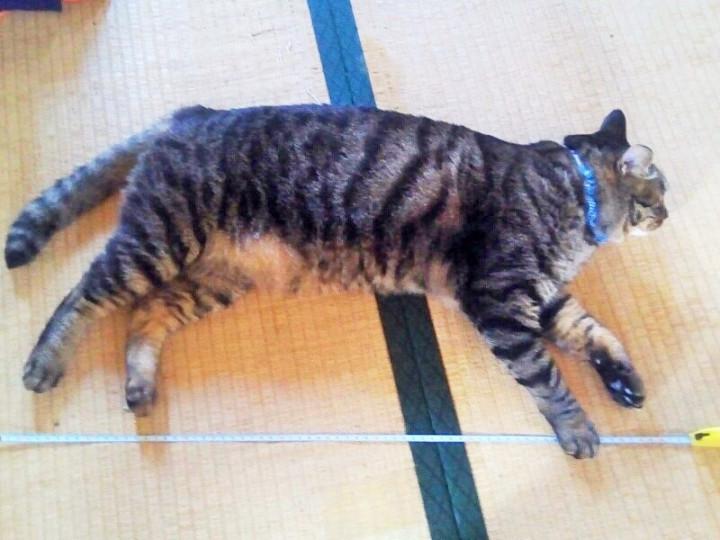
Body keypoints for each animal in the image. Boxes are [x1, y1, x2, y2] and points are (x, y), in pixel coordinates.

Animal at [5, 105, 668, 458]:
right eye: (658, 191)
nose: (668, 212)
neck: (576, 195)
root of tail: (193, 112)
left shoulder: (541, 299)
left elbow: (593, 331)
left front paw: (623, 380)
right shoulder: (501, 300)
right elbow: (548, 376)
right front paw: (576, 426)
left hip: (212, 278)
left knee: (145, 315)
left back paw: (141, 384)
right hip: (159, 241)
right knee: (84, 294)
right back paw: (45, 361)